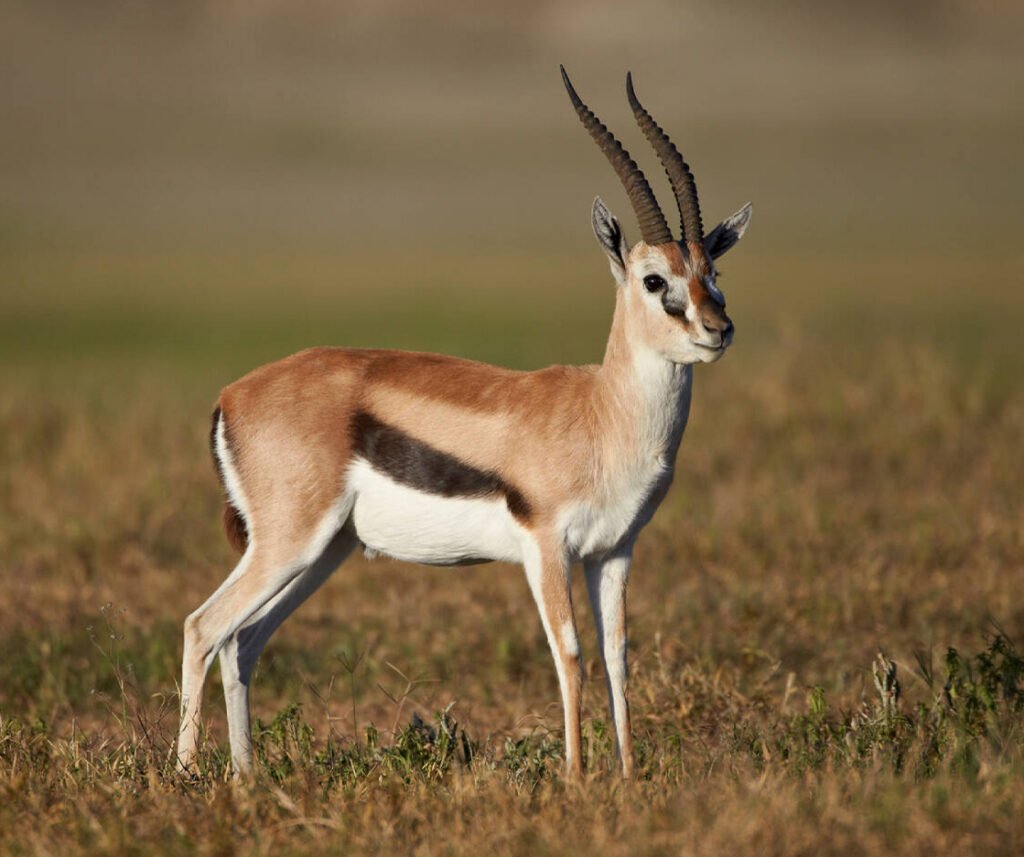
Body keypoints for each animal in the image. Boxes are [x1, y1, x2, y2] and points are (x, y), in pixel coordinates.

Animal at [176, 67, 751, 779]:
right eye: (654, 280)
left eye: (711, 273)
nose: (718, 329)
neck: (602, 412)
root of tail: (232, 395)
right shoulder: (548, 547)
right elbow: (570, 655)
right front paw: (575, 780)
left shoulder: (614, 550)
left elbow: (618, 658)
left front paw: (625, 778)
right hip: (289, 544)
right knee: (203, 627)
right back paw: (186, 777)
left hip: (321, 552)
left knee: (243, 642)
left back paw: (248, 777)